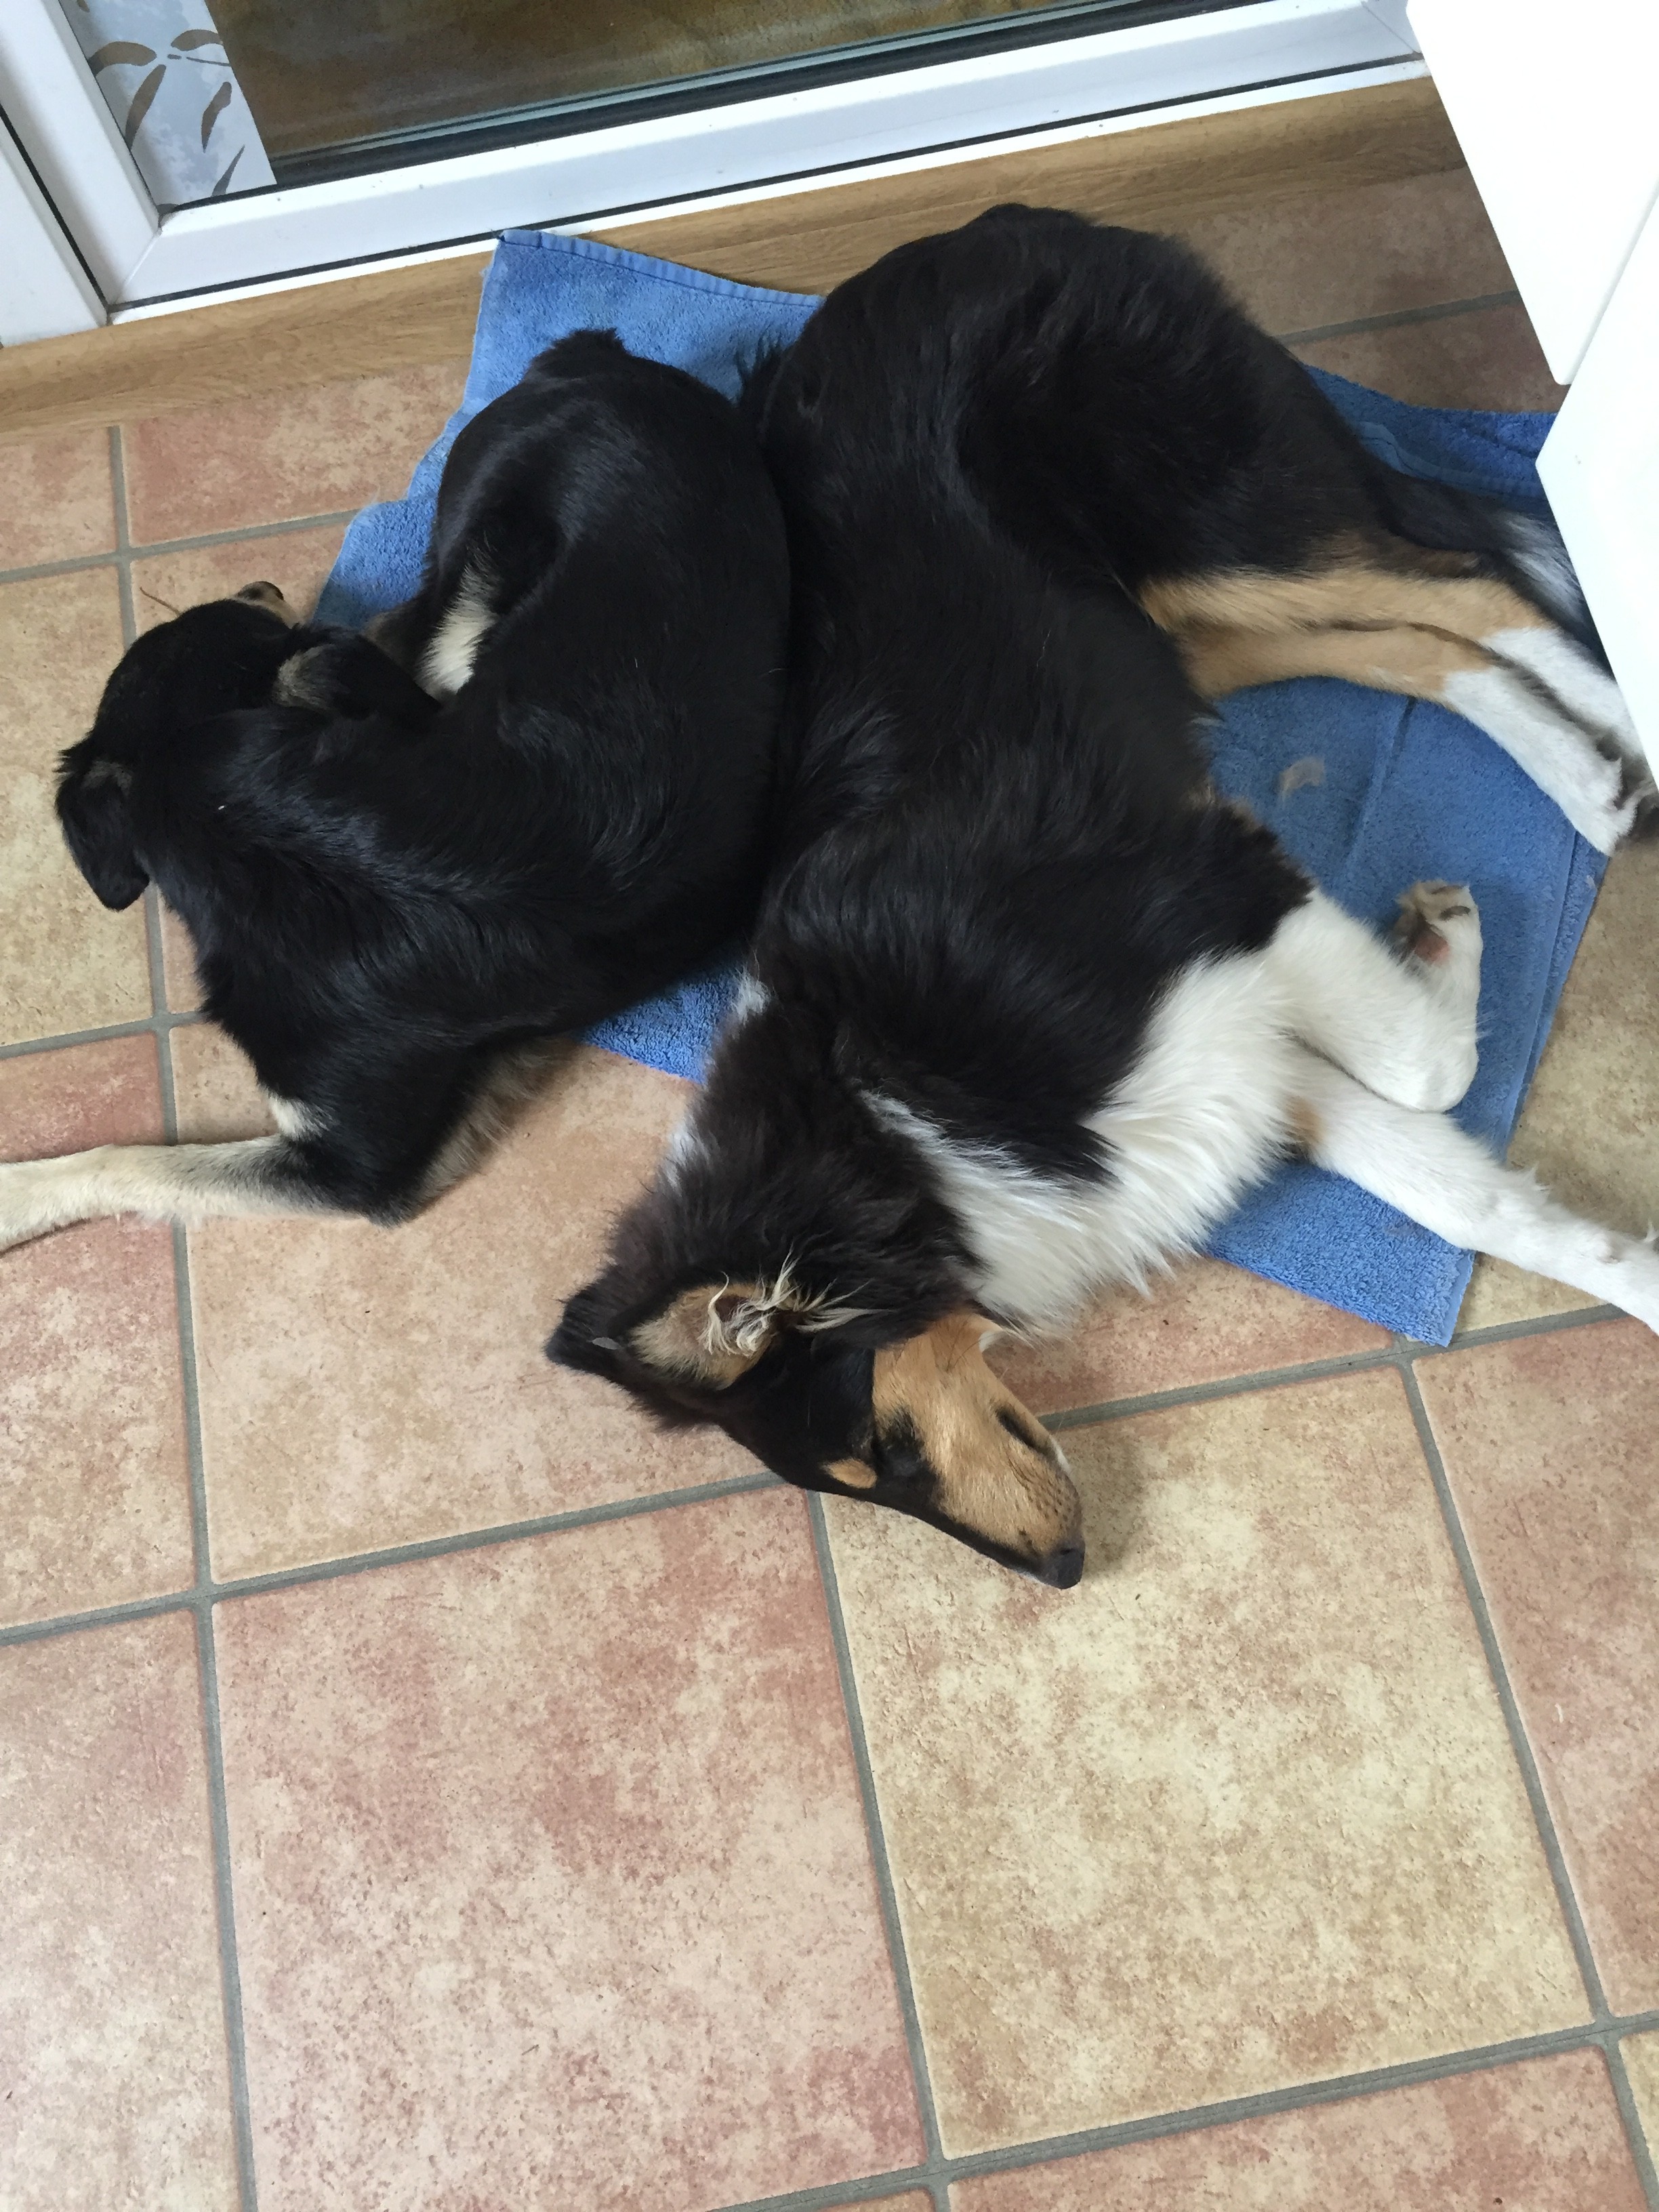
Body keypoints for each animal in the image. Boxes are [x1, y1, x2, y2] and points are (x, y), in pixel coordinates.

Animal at [1, 330, 788, 1244]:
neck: (248, 821)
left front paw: (13, 1194)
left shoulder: (354, 1167)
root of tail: (602, 361)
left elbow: (131, 1161)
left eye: (246, 614)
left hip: (468, 575)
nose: (265, 586)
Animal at [551, 207, 1659, 1588]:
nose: (1065, 1574)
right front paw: (1634, 1272)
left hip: (1220, 531)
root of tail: (986, 224)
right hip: (1187, 616)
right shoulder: (1216, 1076)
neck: (889, 1124)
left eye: (875, 1449)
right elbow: (1458, 1184)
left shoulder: (1209, 891)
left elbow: (1426, 1071)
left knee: (1469, 581)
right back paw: (1584, 781)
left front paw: (1439, 934)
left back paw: (1624, 736)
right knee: (1420, 641)